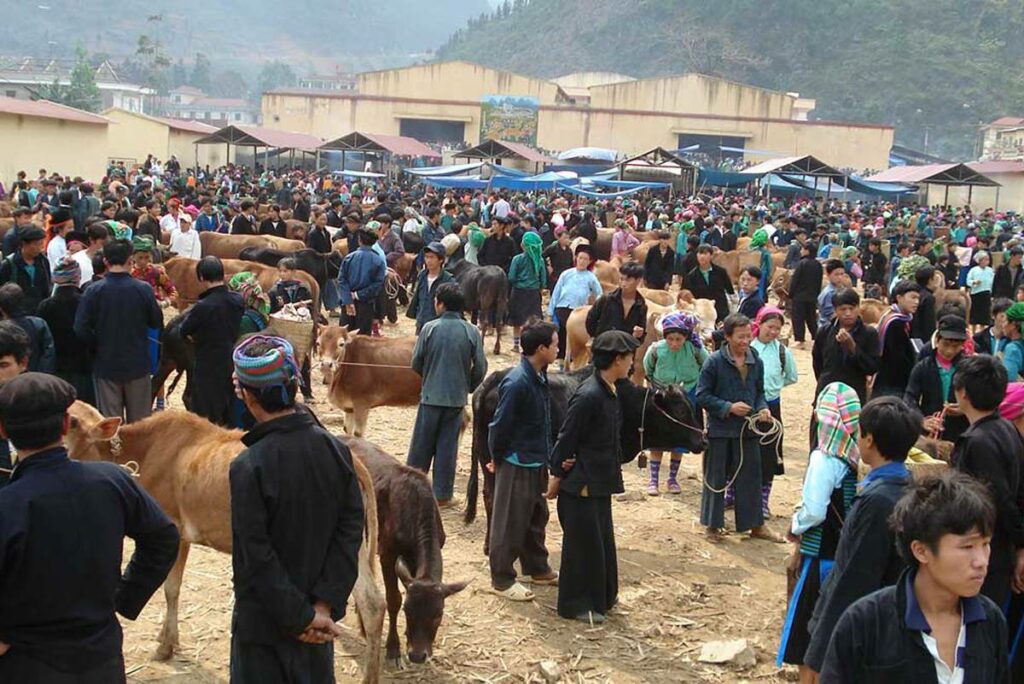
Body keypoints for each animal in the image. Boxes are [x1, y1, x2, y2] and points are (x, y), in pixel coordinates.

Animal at [64, 403, 385, 679]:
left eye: (73, 422)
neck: (144, 451)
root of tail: (356, 464)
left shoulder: (174, 529)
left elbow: (170, 589)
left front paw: (166, 645)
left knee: (370, 604)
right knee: (371, 601)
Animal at [468, 366, 708, 552]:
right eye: (681, 410)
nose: (702, 441)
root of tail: (492, 380)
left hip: (486, 457)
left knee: (489, 496)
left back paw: (488, 546)